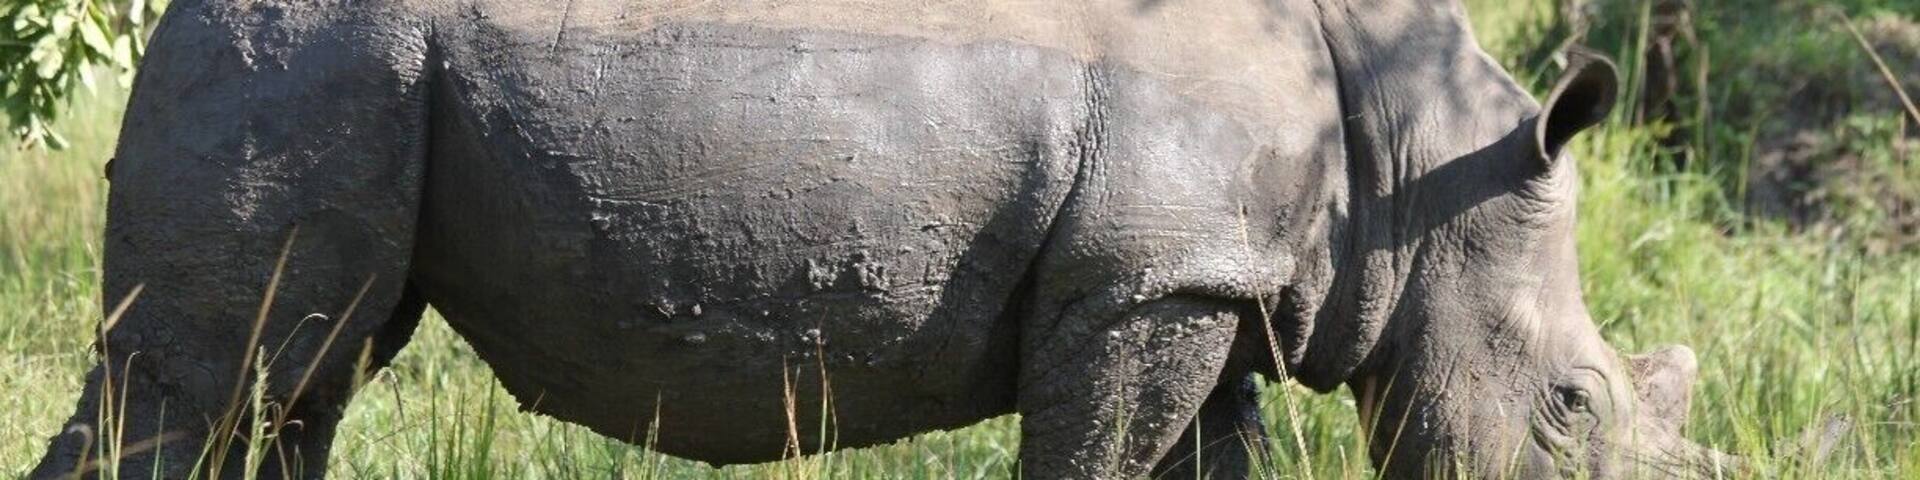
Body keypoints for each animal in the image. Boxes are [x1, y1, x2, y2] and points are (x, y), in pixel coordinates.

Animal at [32, 0, 1743, 478]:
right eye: (1570, 410)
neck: (1415, 164)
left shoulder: (1204, 280)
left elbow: (1204, 457)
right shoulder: (1143, 283)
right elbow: (1099, 460)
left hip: (353, 69)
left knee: (298, 383)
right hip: (308, 52)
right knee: (202, 385)